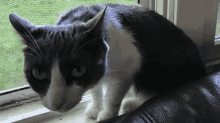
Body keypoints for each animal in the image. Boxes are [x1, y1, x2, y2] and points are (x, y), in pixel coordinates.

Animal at [9, 3, 208, 122]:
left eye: (78, 69)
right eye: (38, 73)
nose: (57, 103)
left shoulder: (130, 62)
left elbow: (113, 96)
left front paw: (106, 115)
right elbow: (96, 89)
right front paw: (95, 106)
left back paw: (132, 102)